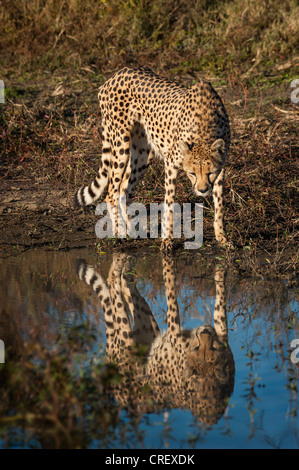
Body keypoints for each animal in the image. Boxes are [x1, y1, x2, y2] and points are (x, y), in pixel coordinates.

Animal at [75, 67, 232, 250]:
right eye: (192, 173)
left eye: (210, 173)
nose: (202, 190)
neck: (204, 129)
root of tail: (118, 74)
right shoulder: (171, 164)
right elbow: (169, 202)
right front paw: (167, 240)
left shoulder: (221, 167)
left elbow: (219, 204)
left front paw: (222, 238)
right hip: (121, 144)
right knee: (112, 192)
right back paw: (118, 232)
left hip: (143, 153)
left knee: (124, 190)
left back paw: (131, 230)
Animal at [78, 253, 237, 426]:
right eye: (200, 348)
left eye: (211, 347)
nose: (206, 331)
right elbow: (220, 303)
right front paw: (220, 271)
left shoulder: (176, 331)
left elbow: (170, 284)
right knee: (121, 283)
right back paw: (122, 262)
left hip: (133, 339)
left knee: (117, 288)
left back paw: (119, 263)